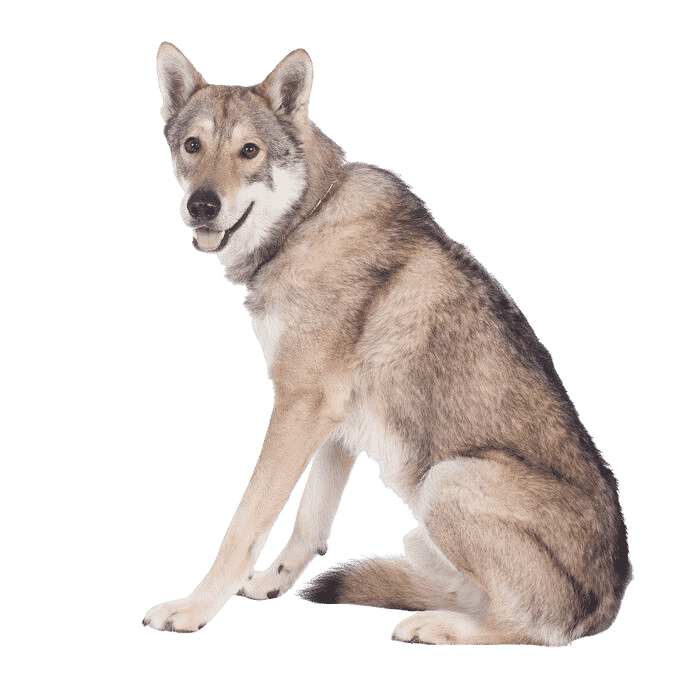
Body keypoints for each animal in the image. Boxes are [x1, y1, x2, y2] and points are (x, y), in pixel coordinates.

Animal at [143, 42, 631, 645]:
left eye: (249, 151)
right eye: (193, 145)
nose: (203, 205)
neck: (308, 218)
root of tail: (611, 605)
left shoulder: (298, 407)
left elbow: (244, 526)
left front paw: (193, 610)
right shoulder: (334, 423)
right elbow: (309, 523)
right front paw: (269, 586)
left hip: (448, 480)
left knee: (528, 625)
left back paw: (431, 626)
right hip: (421, 532)